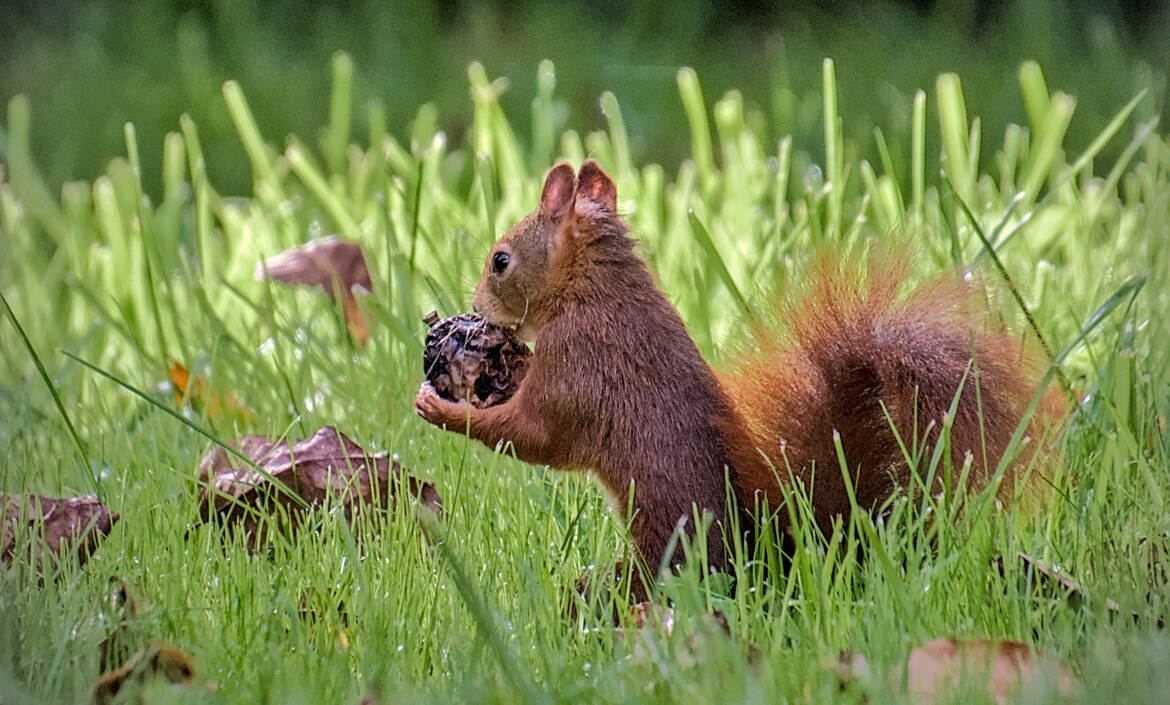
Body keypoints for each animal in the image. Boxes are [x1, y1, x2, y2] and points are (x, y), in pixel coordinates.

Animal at [416, 161, 1067, 603]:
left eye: (500, 260)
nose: (474, 307)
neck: (592, 288)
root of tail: (782, 557)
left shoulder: (582, 365)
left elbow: (534, 435)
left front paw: (443, 408)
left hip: (666, 549)